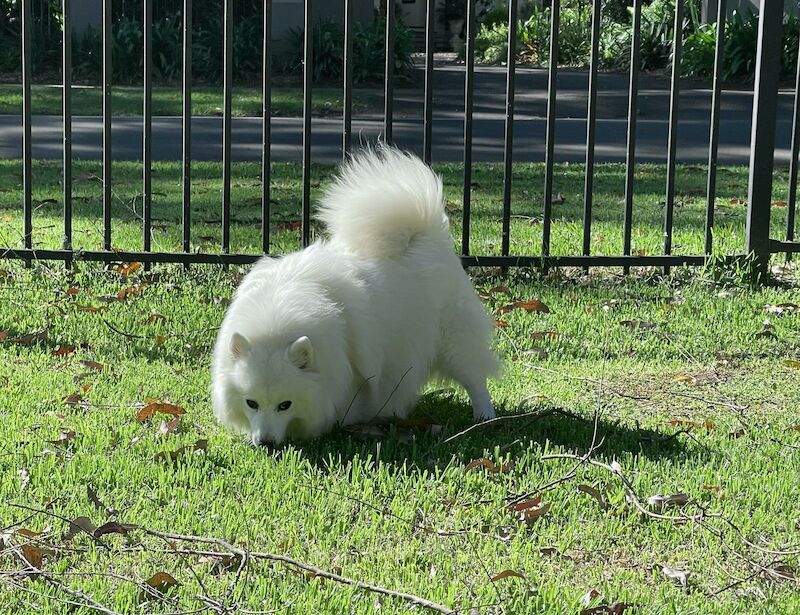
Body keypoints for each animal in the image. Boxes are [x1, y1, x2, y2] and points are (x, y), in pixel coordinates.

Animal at [209, 147, 496, 446]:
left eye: (284, 405)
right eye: (251, 403)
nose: (265, 443)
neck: (276, 321)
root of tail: (424, 232)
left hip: (454, 343)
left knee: (475, 379)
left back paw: (484, 416)